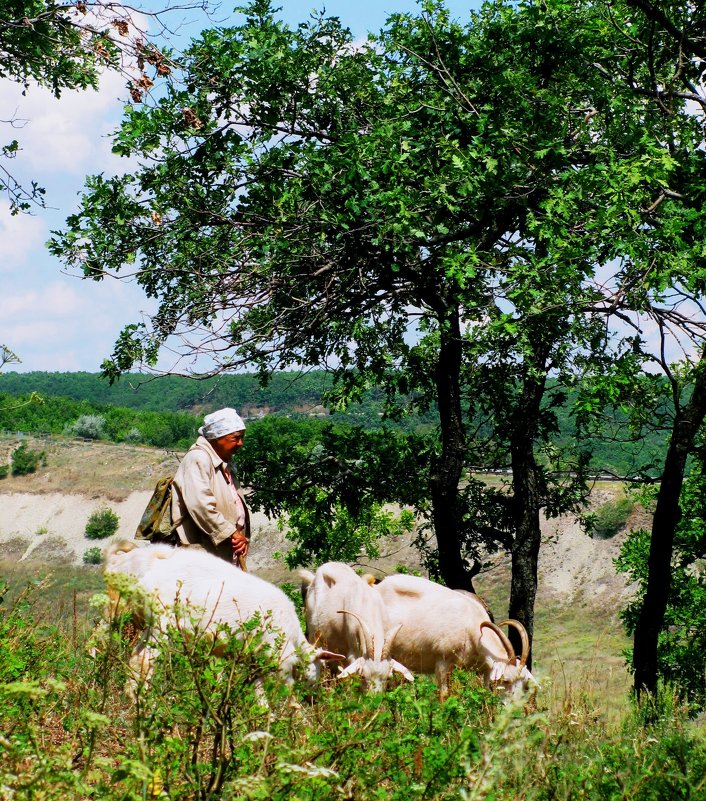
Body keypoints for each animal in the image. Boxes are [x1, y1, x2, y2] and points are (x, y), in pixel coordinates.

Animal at [104, 540, 344, 696]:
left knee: (135, 659)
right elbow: (286, 694)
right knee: (145, 661)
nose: (314, 698)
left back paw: (132, 697)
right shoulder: (279, 660)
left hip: (149, 625)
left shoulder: (255, 661)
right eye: (318, 668)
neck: (294, 640)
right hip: (162, 626)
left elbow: (259, 693)